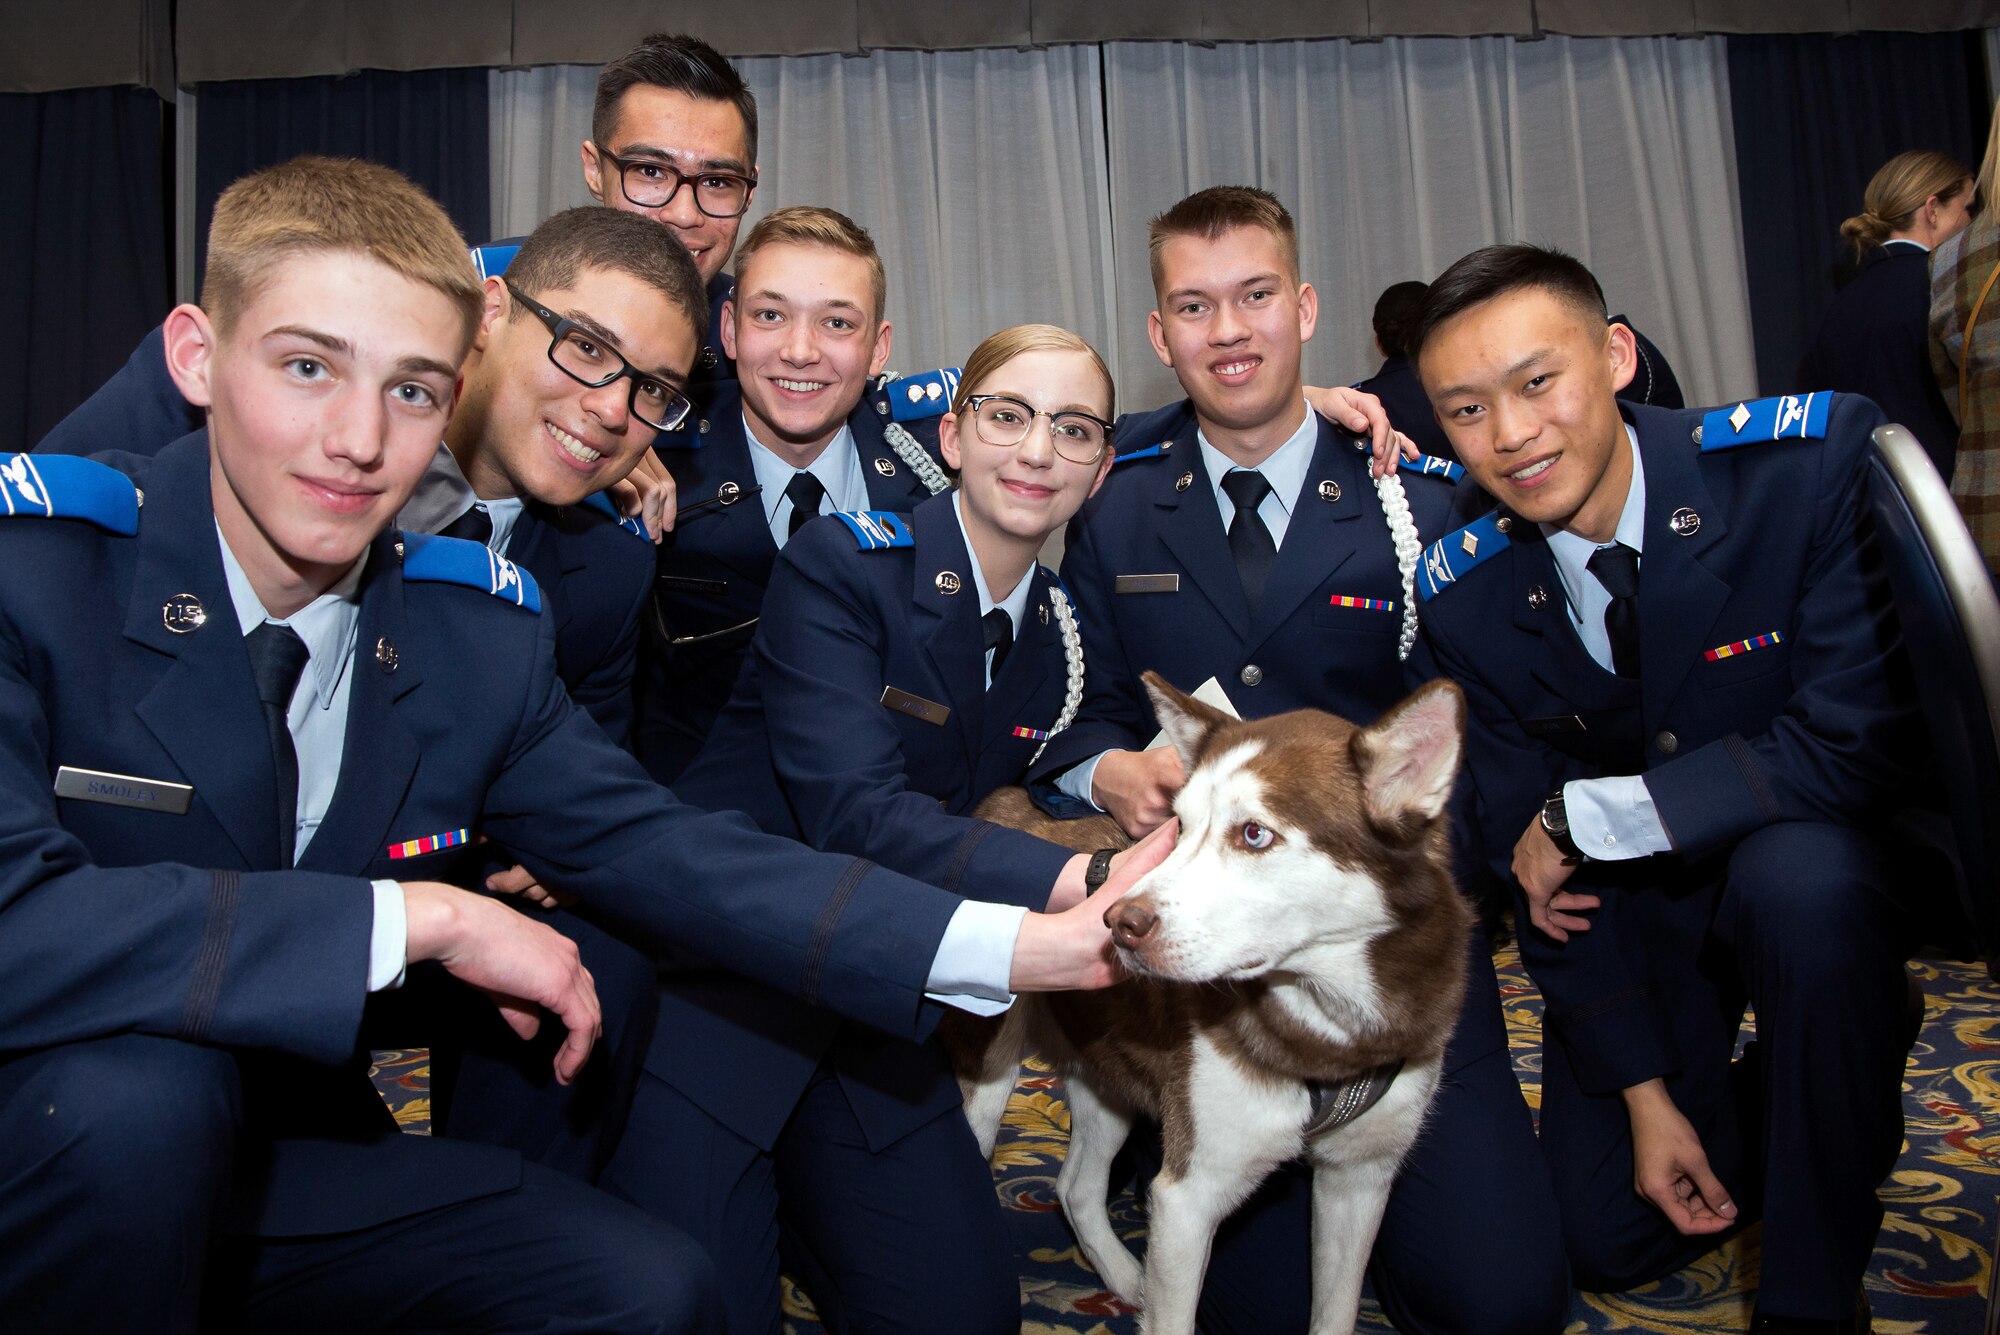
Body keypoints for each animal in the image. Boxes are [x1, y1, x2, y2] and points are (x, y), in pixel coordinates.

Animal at [944, 671, 1480, 1335]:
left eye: (1254, 833)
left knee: (1076, 1186)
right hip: (990, 1073)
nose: (1117, 922)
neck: (1327, 1031)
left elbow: (1335, 1310)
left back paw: (1125, 1278)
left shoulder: (1361, 1179)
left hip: (1108, 1069)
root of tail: (997, 802)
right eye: (1179, 825)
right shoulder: (1189, 1195)